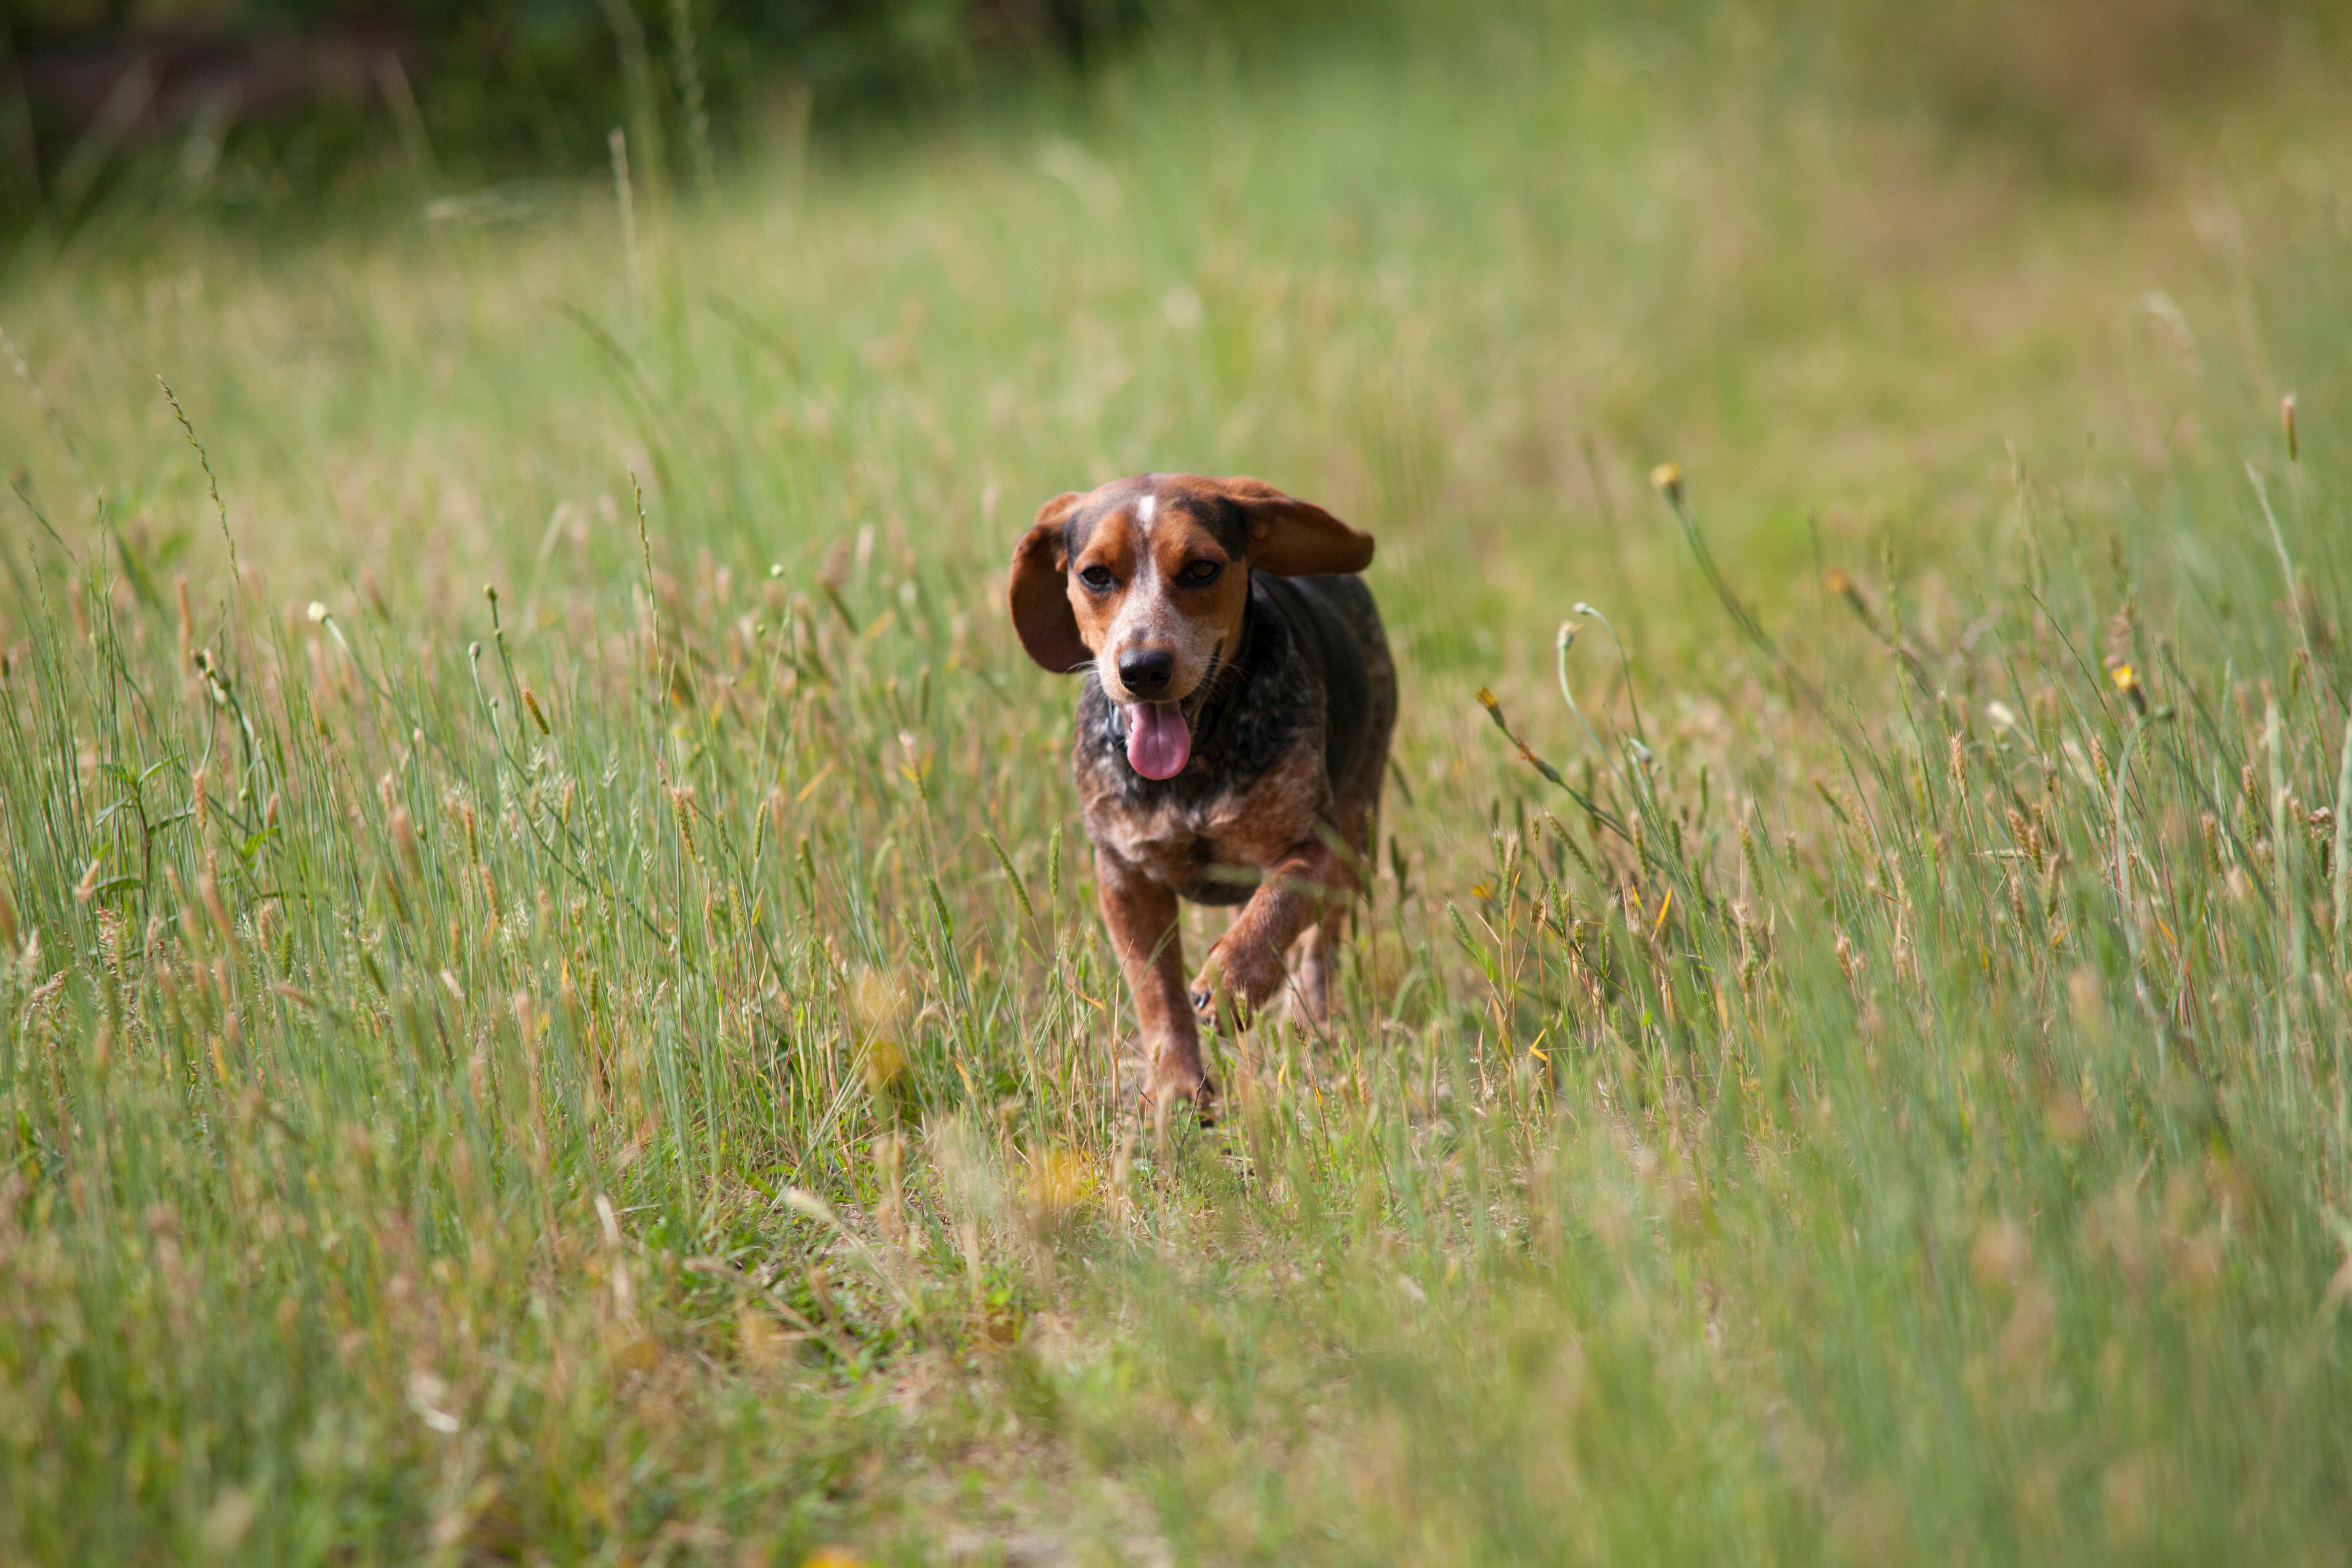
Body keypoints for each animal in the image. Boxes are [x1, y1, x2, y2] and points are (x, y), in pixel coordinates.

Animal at [1011, 472, 1392, 1124]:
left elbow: (1277, 908)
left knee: (1320, 945)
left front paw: (1233, 984)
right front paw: (1178, 1087)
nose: (1143, 668)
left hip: (1359, 820)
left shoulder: (1317, 848)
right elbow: (1157, 992)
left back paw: (1309, 1021)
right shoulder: (1124, 877)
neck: (1194, 766)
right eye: (1095, 575)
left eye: (1202, 569)